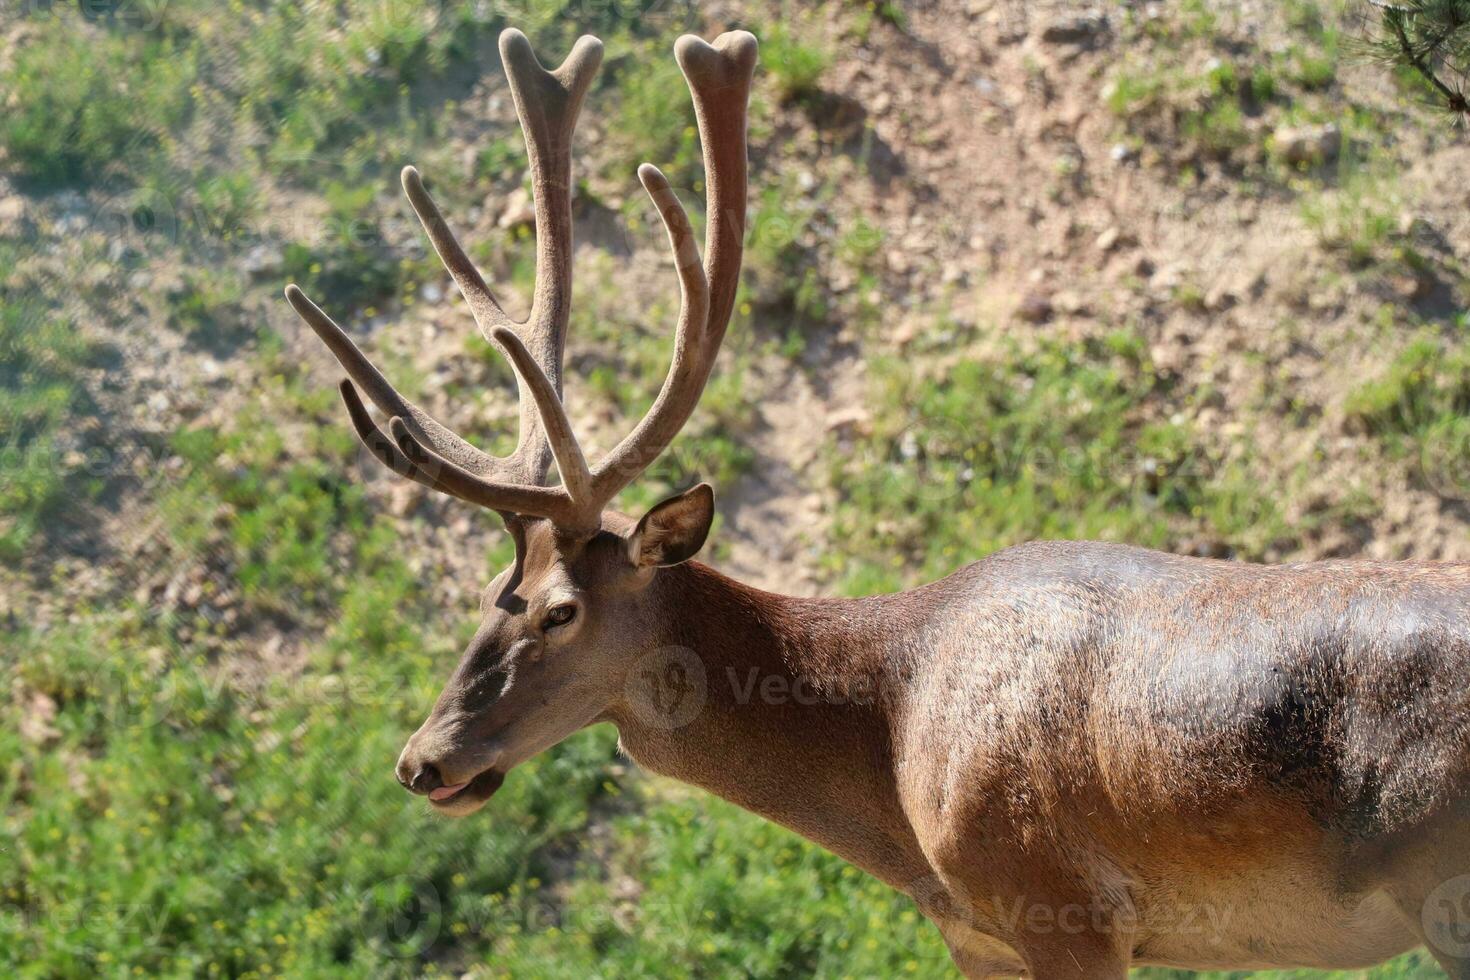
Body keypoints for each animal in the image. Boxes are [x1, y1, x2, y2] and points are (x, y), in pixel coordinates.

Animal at [283, 26, 1470, 975]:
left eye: (559, 608)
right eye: (493, 590)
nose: (423, 759)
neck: (892, 775)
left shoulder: (1064, 909)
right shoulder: (978, 932)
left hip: (1445, 896)